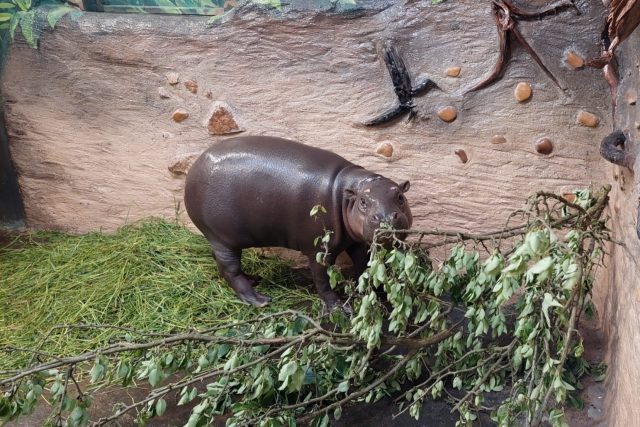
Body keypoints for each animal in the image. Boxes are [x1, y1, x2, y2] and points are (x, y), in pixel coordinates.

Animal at [184, 137, 416, 310]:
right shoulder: (318, 250)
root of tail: (195, 166)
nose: (386, 218)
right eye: (363, 202)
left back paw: (254, 278)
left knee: (223, 263)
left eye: (400, 196)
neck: (347, 192)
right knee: (230, 269)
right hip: (221, 237)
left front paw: (372, 292)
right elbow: (322, 280)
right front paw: (338, 308)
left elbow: (362, 264)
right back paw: (260, 300)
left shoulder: (356, 242)